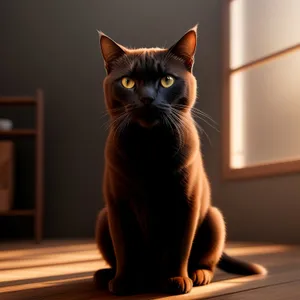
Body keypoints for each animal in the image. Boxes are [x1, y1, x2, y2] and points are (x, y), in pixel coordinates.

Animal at [94, 25, 268, 296]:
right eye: (128, 82)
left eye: (167, 80)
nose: (147, 98)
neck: (150, 149)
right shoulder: (118, 204)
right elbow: (125, 248)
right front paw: (124, 282)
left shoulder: (186, 201)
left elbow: (179, 247)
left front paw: (176, 280)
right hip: (103, 219)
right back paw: (106, 276)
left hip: (214, 219)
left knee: (208, 260)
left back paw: (197, 275)